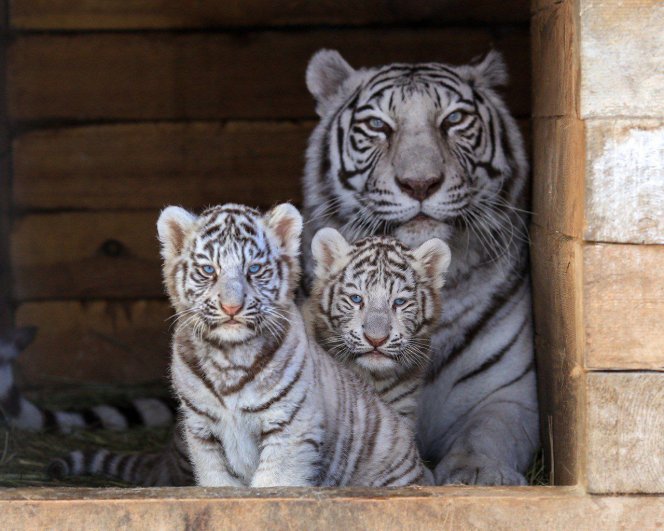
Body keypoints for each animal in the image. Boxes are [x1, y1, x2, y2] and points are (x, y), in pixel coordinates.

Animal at [302, 50, 540, 486]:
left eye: (454, 120)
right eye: (378, 125)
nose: (420, 183)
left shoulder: (508, 394)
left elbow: (488, 432)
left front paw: (477, 473)